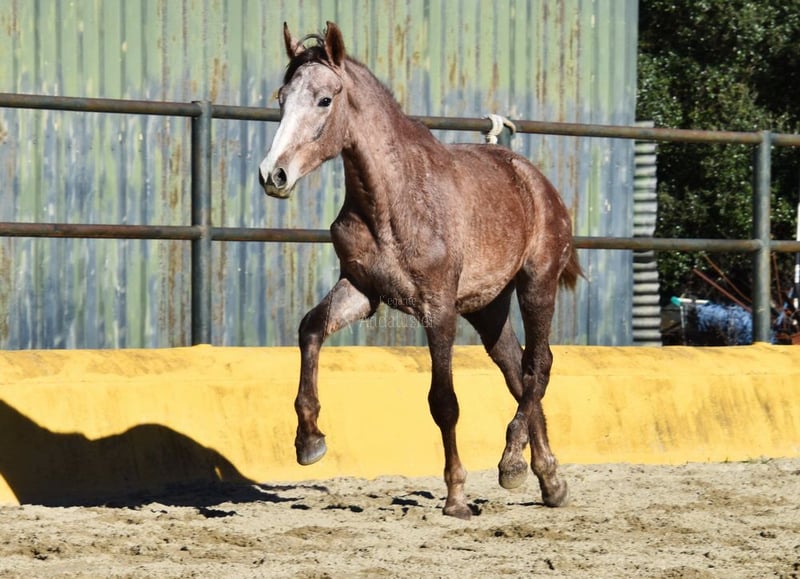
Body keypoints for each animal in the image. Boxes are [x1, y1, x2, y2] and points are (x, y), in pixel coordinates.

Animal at [258, 22, 581, 519]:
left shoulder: (438, 309)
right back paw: (549, 479)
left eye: (324, 100)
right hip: (488, 307)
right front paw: (309, 441)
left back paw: (512, 465)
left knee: (539, 365)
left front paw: (457, 497)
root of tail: (538, 182)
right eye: (281, 97)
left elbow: (443, 401)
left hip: (537, 285)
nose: (273, 175)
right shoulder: (363, 291)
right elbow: (310, 329)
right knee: (516, 370)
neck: (392, 201)